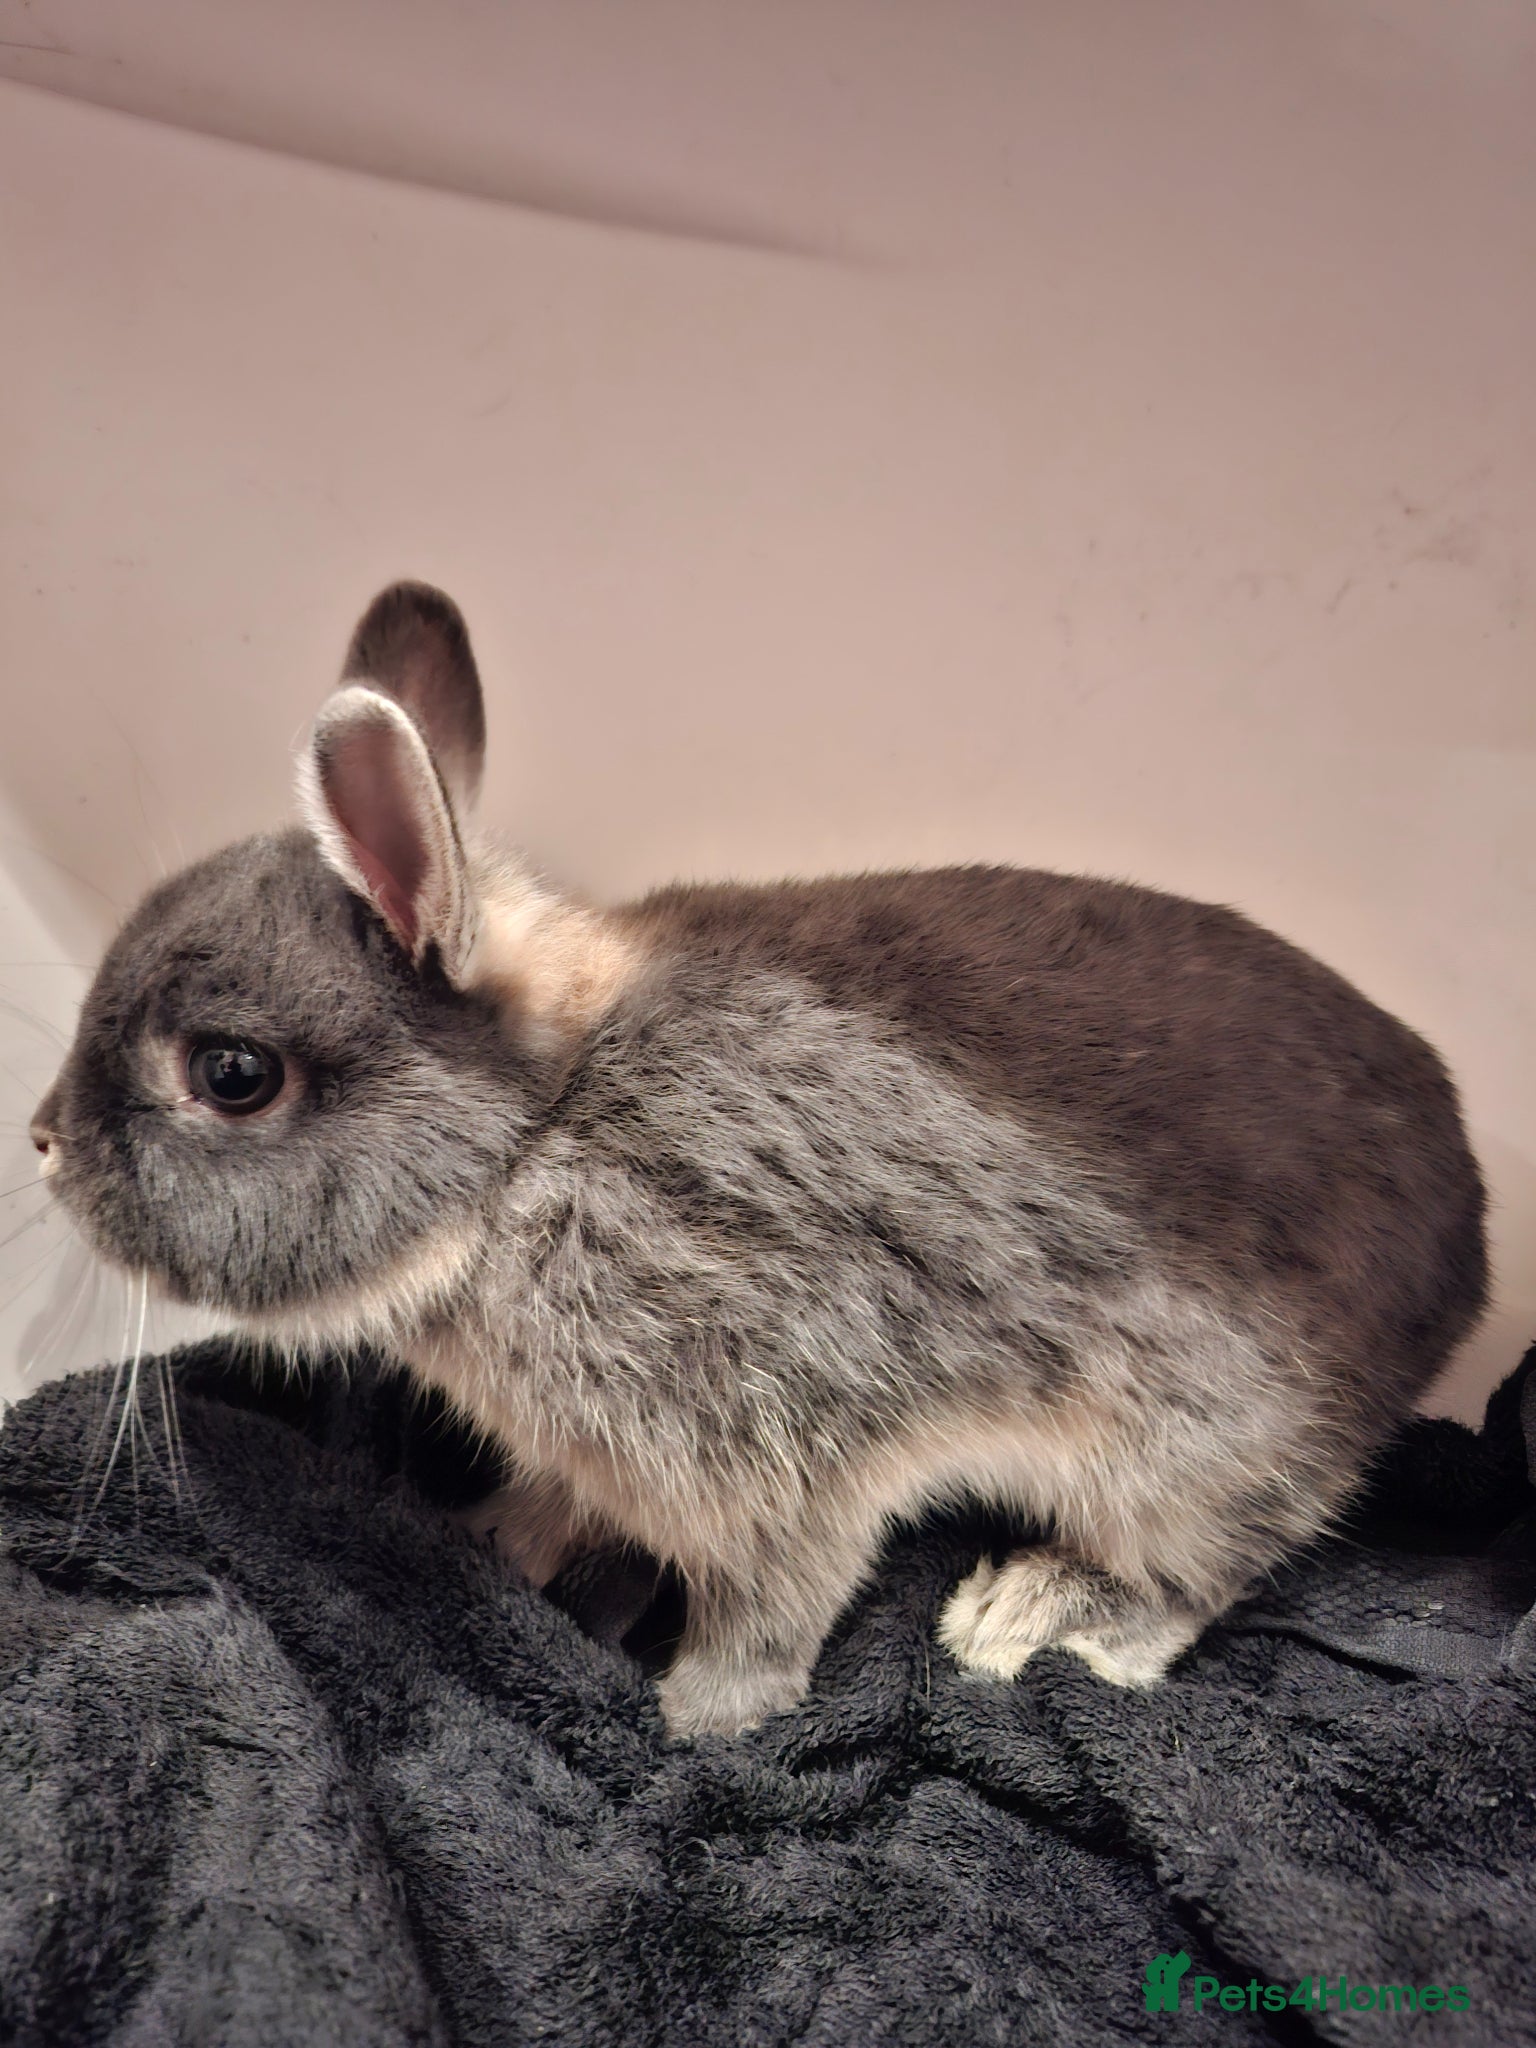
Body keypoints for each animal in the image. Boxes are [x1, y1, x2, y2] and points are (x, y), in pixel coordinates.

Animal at [30, 581, 1488, 1738]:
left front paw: (700, 1731)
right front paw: (492, 1546)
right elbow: (559, 1508)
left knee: (1200, 1569)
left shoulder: (787, 1446)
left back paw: (1033, 1619)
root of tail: (1467, 1239)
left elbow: (771, 1610)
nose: (41, 1143)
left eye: (231, 1074)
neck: (531, 1149)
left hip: (1191, 1451)